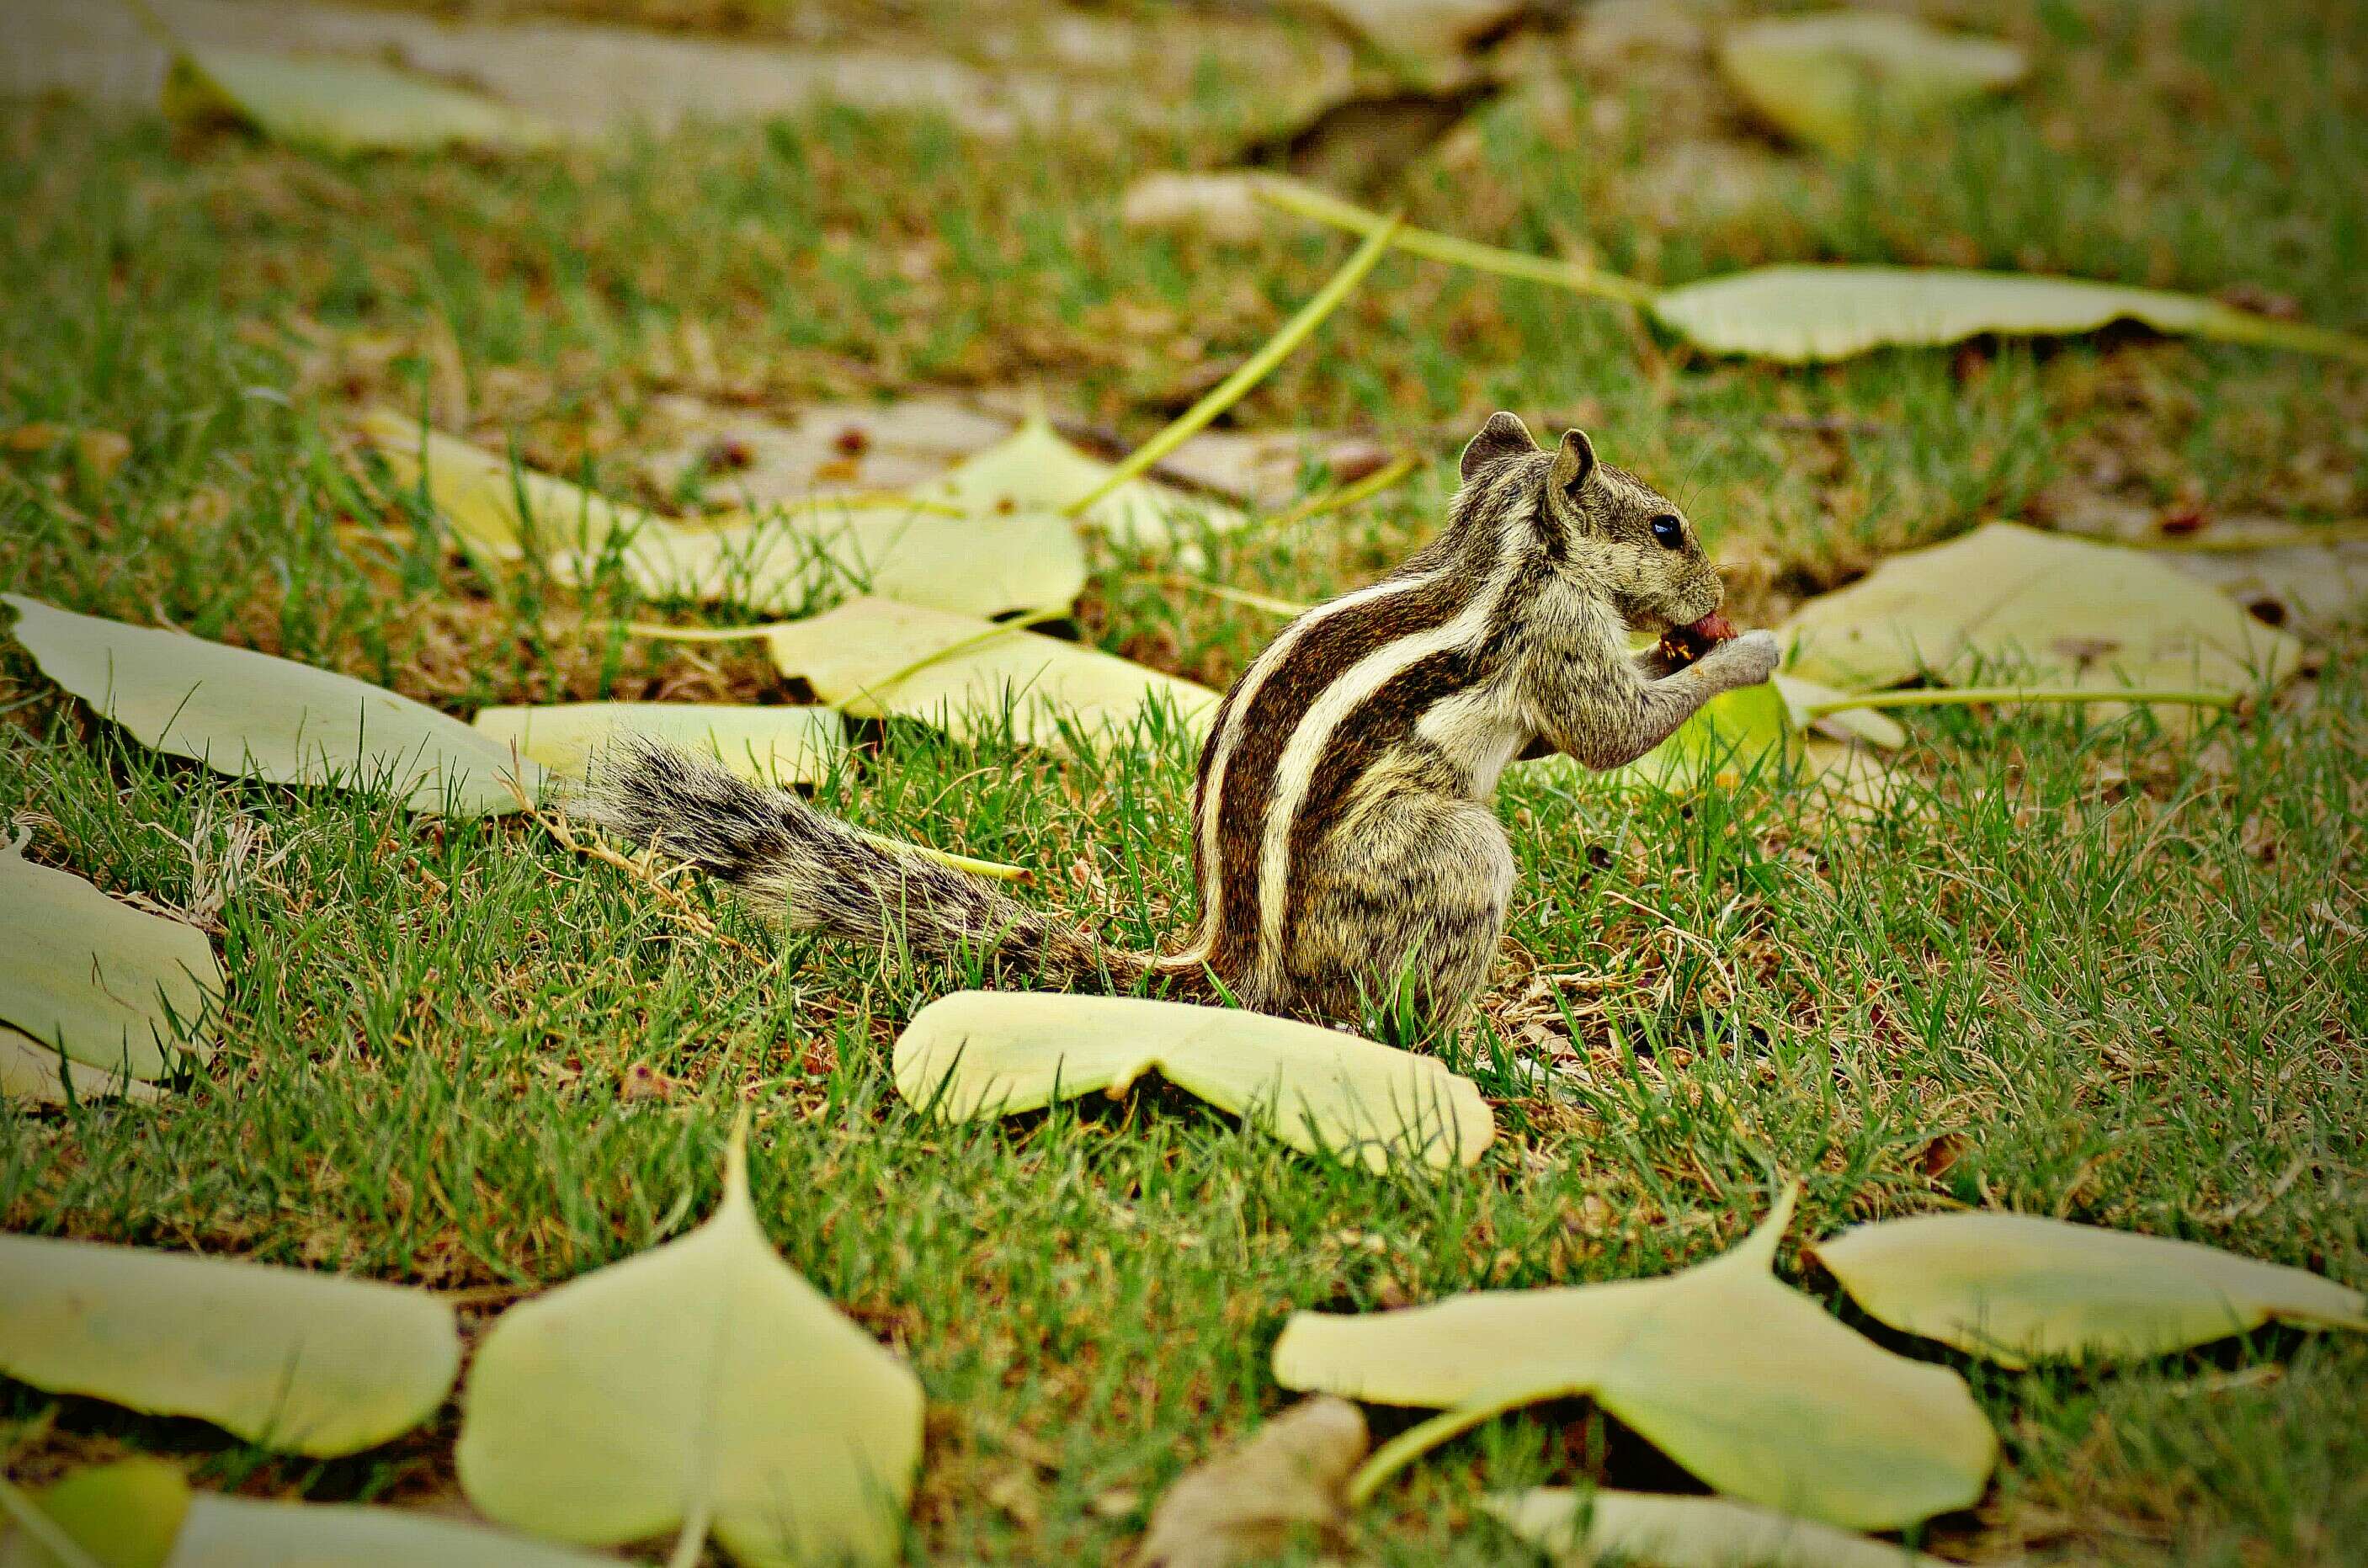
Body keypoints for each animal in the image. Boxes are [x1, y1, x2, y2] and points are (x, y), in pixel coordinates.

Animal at [577, 414, 1780, 1032]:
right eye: (1667, 529)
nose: (1715, 588)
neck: (1494, 546)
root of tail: (1228, 959)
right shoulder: (1557, 637)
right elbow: (1609, 732)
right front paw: (1750, 650)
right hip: (1452, 860)